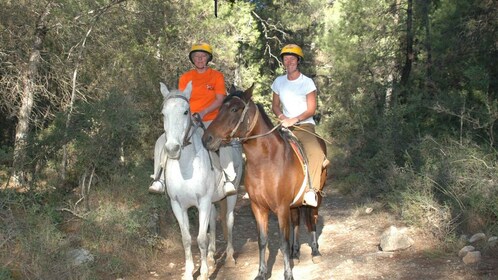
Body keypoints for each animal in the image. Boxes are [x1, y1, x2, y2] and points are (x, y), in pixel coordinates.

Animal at [156, 81, 241, 280]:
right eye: (163, 113)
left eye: (186, 111)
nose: (172, 149)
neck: (186, 168)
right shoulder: (178, 205)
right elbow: (187, 239)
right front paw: (189, 273)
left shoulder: (202, 202)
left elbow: (201, 239)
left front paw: (203, 273)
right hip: (212, 201)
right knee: (213, 222)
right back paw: (210, 258)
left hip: (231, 194)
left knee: (228, 220)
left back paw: (229, 258)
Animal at [200, 84, 328, 278]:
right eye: (220, 108)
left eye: (235, 109)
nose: (207, 139)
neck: (266, 161)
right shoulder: (258, 207)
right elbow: (262, 240)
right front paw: (261, 273)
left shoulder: (281, 208)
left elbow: (283, 241)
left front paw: (288, 274)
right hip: (294, 204)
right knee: (297, 221)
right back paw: (296, 253)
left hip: (316, 197)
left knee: (312, 218)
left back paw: (315, 252)